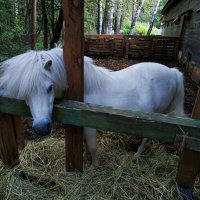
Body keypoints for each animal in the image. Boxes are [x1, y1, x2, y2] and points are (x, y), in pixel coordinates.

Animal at [0, 47, 184, 169]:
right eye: (25, 92)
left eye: (50, 87)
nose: (41, 128)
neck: (86, 88)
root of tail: (173, 72)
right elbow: (85, 145)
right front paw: (86, 158)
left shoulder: (90, 126)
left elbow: (93, 147)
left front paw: (93, 166)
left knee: (147, 138)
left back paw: (137, 154)